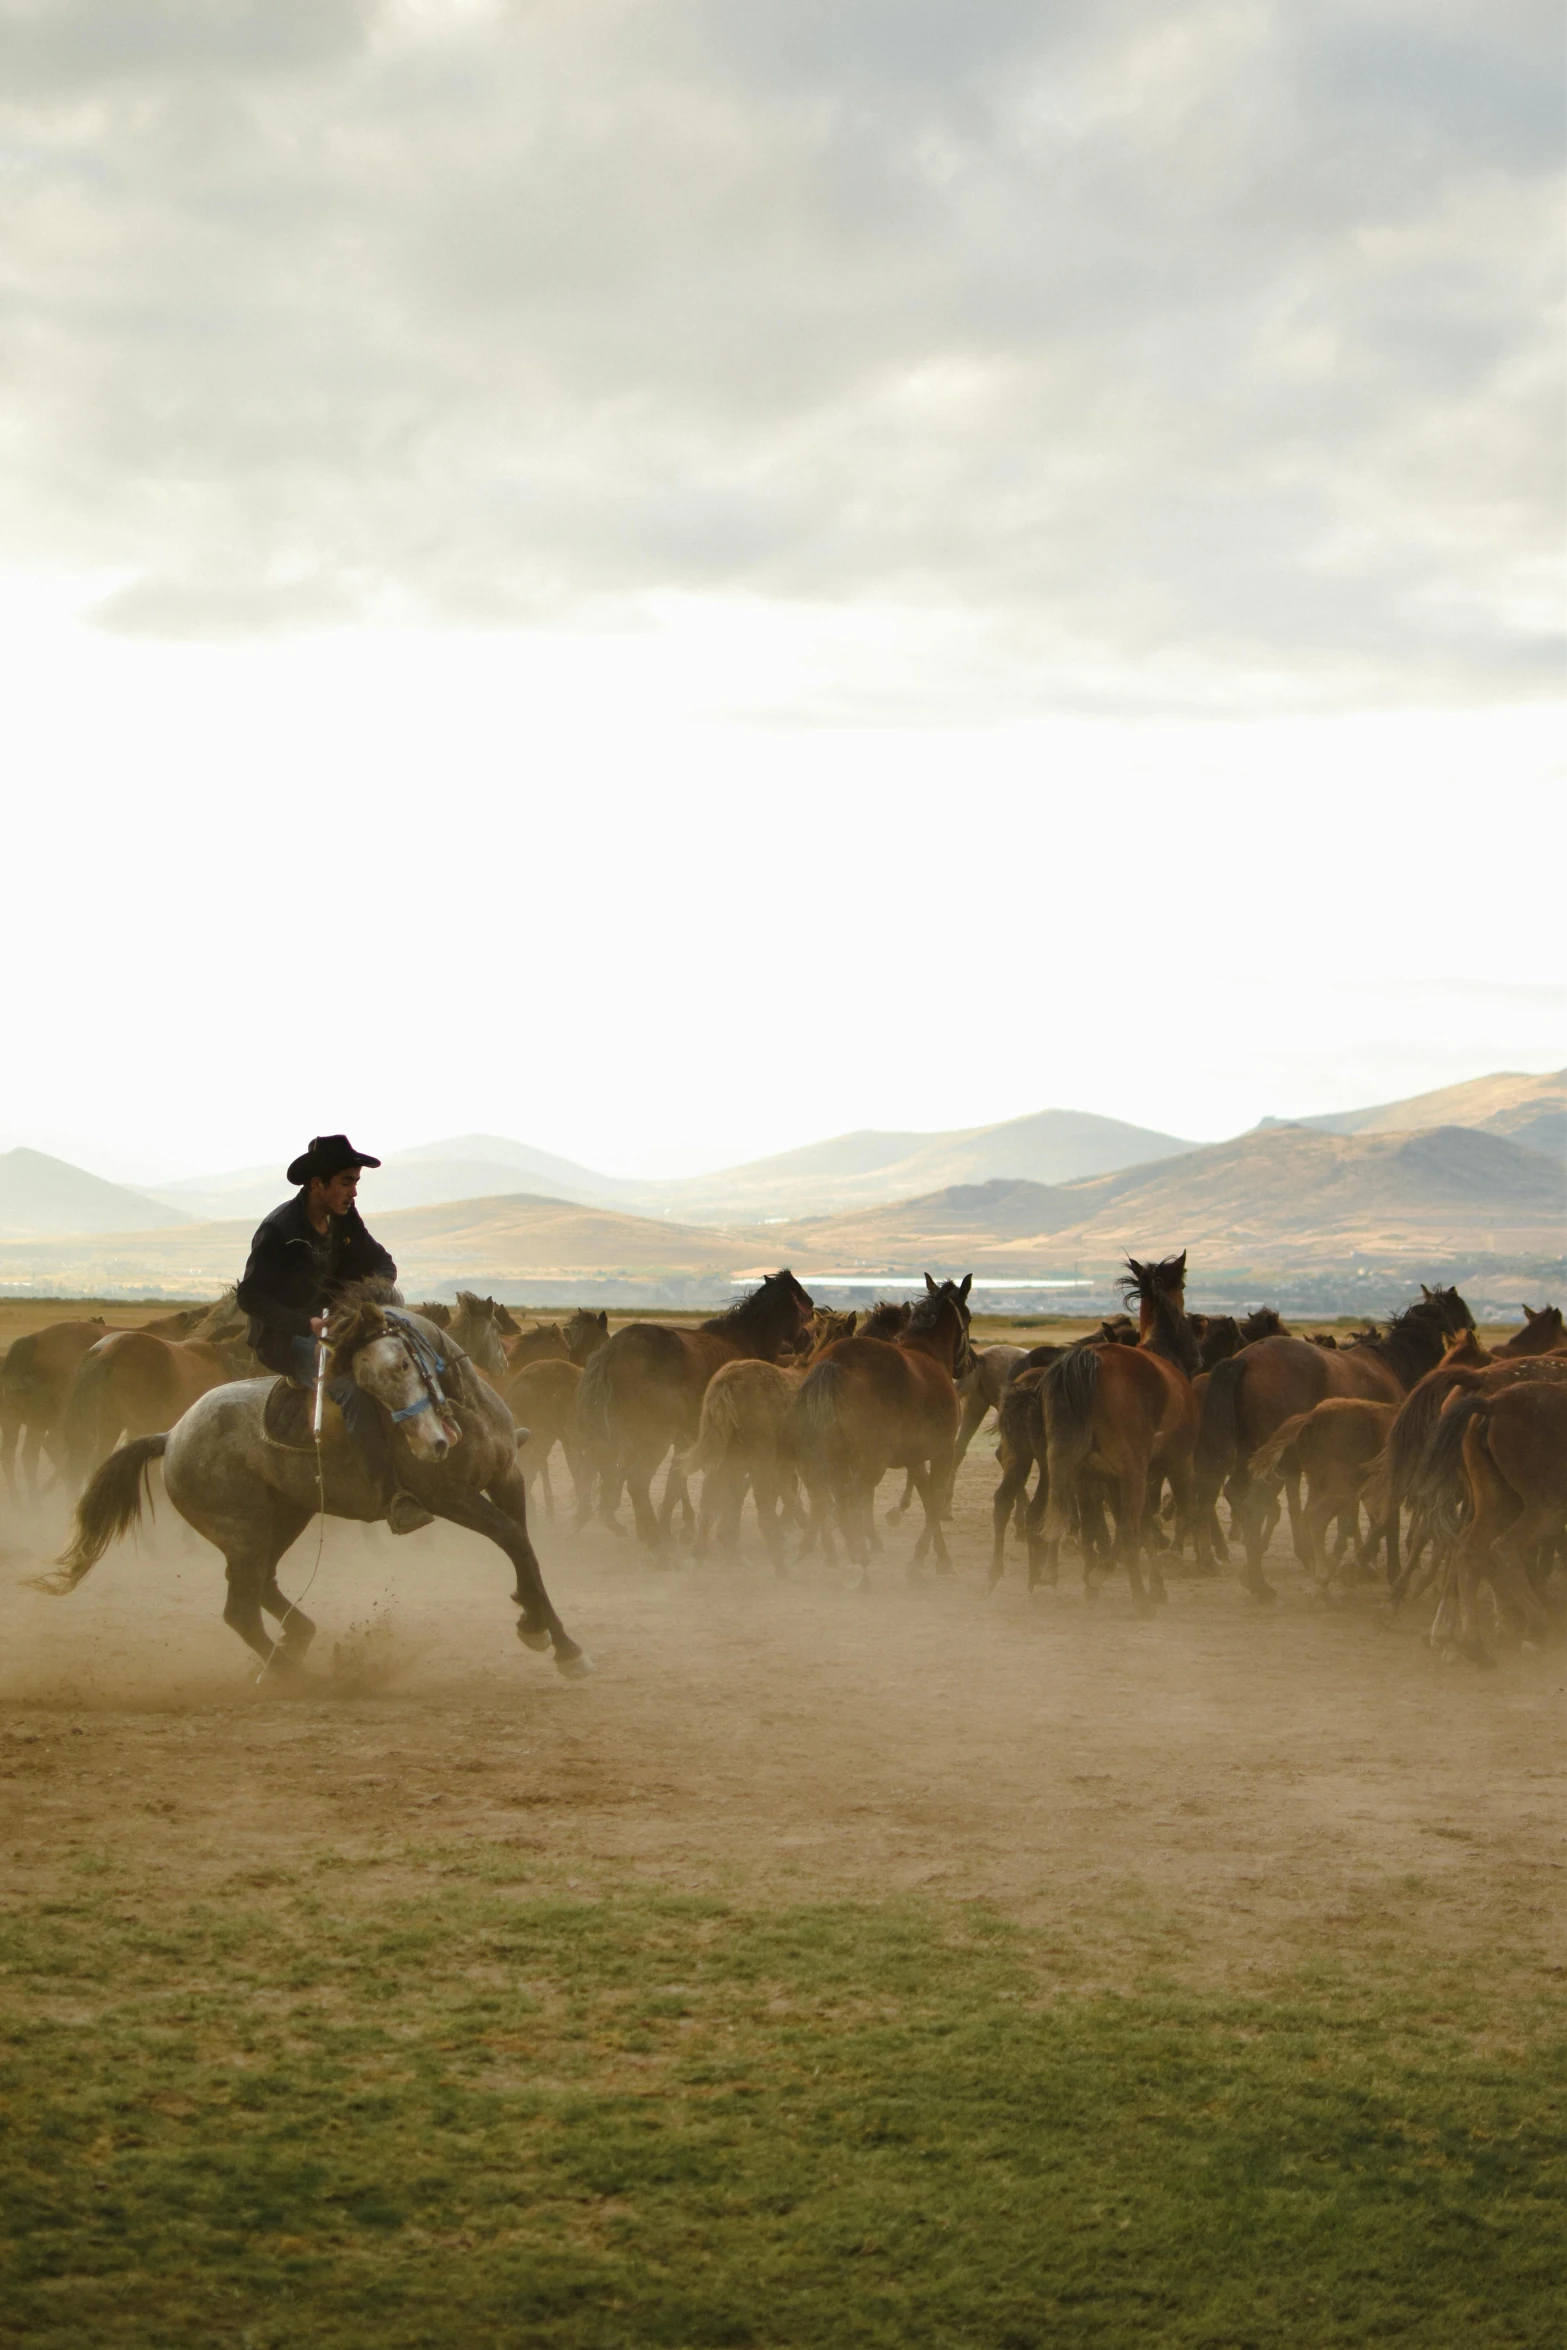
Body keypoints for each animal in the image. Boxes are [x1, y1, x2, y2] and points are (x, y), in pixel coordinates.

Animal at [44, 1287, 594, 1691]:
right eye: (368, 1381)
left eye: (405, 1364)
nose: (432, 1443)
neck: (466, 1409)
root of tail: (171, 1435)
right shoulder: (452, 1499)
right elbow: (513, 1540)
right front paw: (561, 1644)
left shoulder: (508, 1479)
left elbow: (525, 1548)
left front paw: (537, 1624)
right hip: (244, 1531)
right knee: (240, 1610)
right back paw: (301, 1676)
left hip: (285, 1516)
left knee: (263, 1585)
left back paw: (299, 1638)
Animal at [580, 1278, 822, 1550]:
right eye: (807, 1304)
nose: (808, 1344)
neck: (746, 1339)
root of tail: (612, 1349)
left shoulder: (689, 1438)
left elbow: (678, 1481)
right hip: (653, 1436)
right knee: (636, 1480)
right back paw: (657, 1544)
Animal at [789, 1269, 972, 1579]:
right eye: (968, 1318)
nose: (970, 1363)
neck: (928, 1353)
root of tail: (834, 1361)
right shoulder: (942, 1453)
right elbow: (934, 1502)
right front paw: (926, 1559)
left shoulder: (915, 1459)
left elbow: (925, 1499)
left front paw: (935, 1555)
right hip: (871, 1459)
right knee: (848, 1499)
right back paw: (858, 1557)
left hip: (830, 1454)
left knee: (826, 1496)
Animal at [1043, 1250, 1202, 1616]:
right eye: (1184, 1285)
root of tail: (1090, 1360)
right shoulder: (1174, 1467)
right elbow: (1145, 1527)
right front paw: (1148, 1585)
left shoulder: (1107, 1478)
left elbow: (1139, 1529)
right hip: (1132, 1474)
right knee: (1127, 1532)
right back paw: (1134, 1596)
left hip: (1078, 1475)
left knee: (1079, 1527)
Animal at [1202, 1287, 1475, 1597]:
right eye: (1464, 1316)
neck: (1392, 1363)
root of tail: (1244, 1360)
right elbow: (1377, 1517)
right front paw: (1371, 1565)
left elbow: (1347, 1514)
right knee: (1255, 1504)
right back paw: (1261, 1584)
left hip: (1250, 1457)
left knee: (1239, 1496)